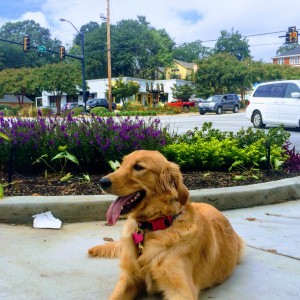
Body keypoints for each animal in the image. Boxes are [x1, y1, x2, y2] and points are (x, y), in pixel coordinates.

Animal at [88, 150, 244, 300]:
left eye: (138, 167)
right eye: (121, 165)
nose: (102, 182)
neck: (154, 225)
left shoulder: (180, 290)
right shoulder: (129, 279)